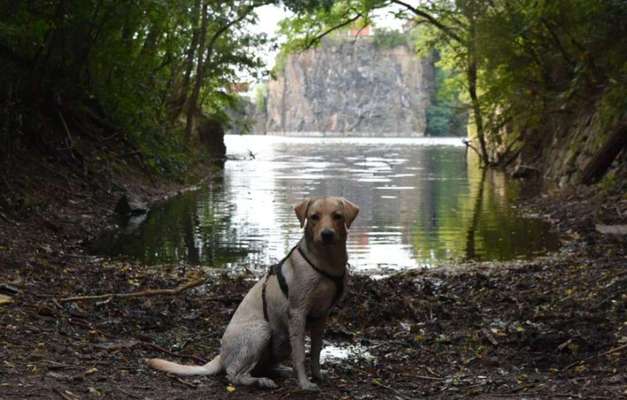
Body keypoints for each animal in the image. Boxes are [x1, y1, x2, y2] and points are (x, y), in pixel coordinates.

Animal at [144, 197, 356, 390]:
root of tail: (222, 355)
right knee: (234, 374)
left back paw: (281, 371)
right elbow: (300, 355)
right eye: (314, 217)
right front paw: (305, 384)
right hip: (261, 330)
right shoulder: (297, 313)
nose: (327, 234)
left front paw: (318, 376)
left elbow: (316, 352)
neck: (325, 262)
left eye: (337, 216)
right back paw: (260, 381)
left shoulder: (322, 315)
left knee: (262, 367)